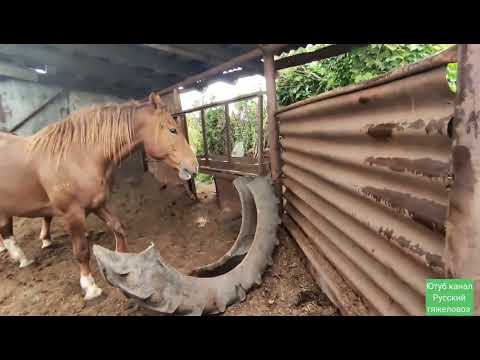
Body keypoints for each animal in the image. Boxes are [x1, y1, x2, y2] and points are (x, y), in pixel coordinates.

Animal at [0, 93, 199, 300]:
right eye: (172, 130)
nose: (194, 166)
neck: (80, 156)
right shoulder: (73, 213)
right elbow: (81, 250)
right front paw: (90, 287)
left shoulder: (97, 204)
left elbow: (118, 228)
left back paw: (21, 257)